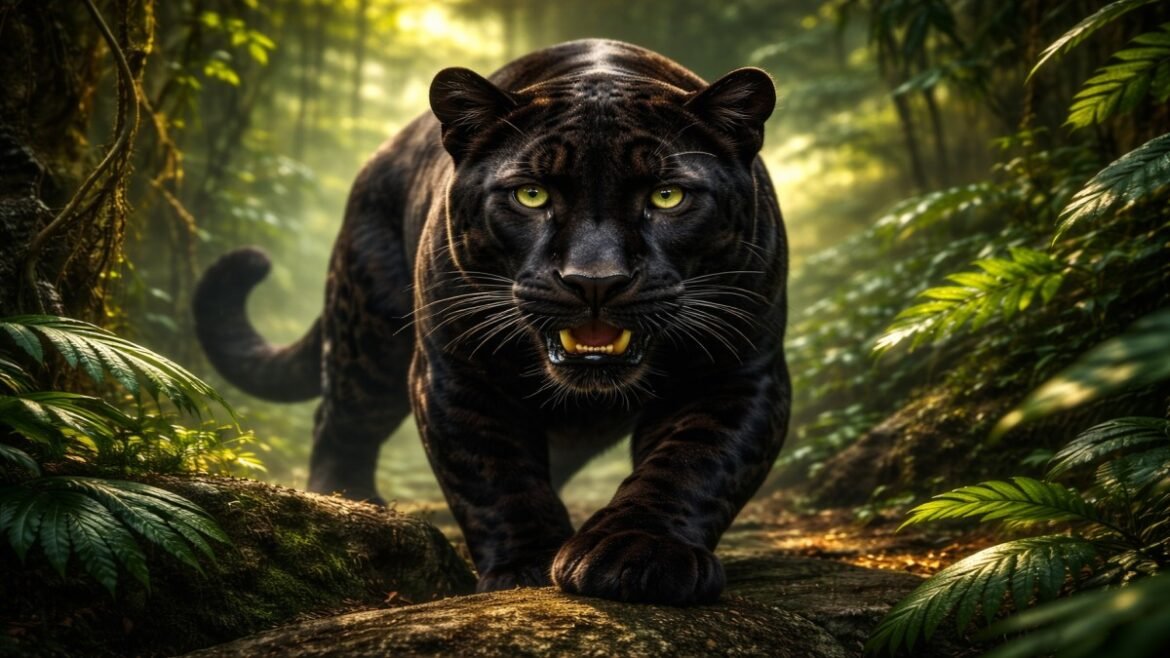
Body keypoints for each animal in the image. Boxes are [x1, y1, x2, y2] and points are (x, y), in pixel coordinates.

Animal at [193, 38, 790, 605]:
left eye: (668, 196)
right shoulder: (455, 371)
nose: (595, 280)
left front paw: (638, 554)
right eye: (531, 194)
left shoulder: (739, 370)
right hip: (368, 334)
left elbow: (693, 462)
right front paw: (528, 568)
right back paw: (350, 499)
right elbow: (494, 474)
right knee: (337, 419)